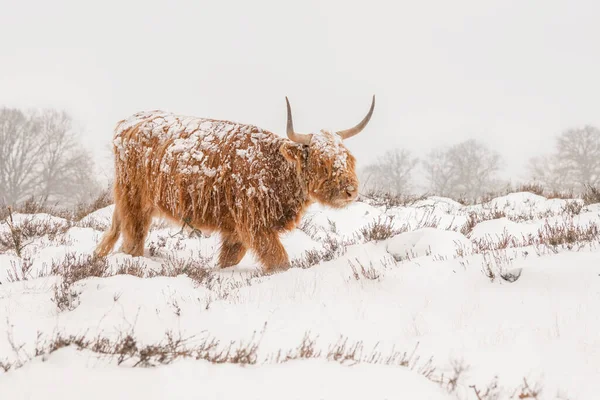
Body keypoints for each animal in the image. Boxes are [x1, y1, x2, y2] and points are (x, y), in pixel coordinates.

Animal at [95, 96, 376, 272]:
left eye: (348, 158)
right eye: (322, 161)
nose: (350, 191)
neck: (276, 170)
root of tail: (130, 121)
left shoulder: (235, 228)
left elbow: (229, 259)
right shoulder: (255, 224)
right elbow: (279, 260)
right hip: (134, 201)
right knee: (132, 241)